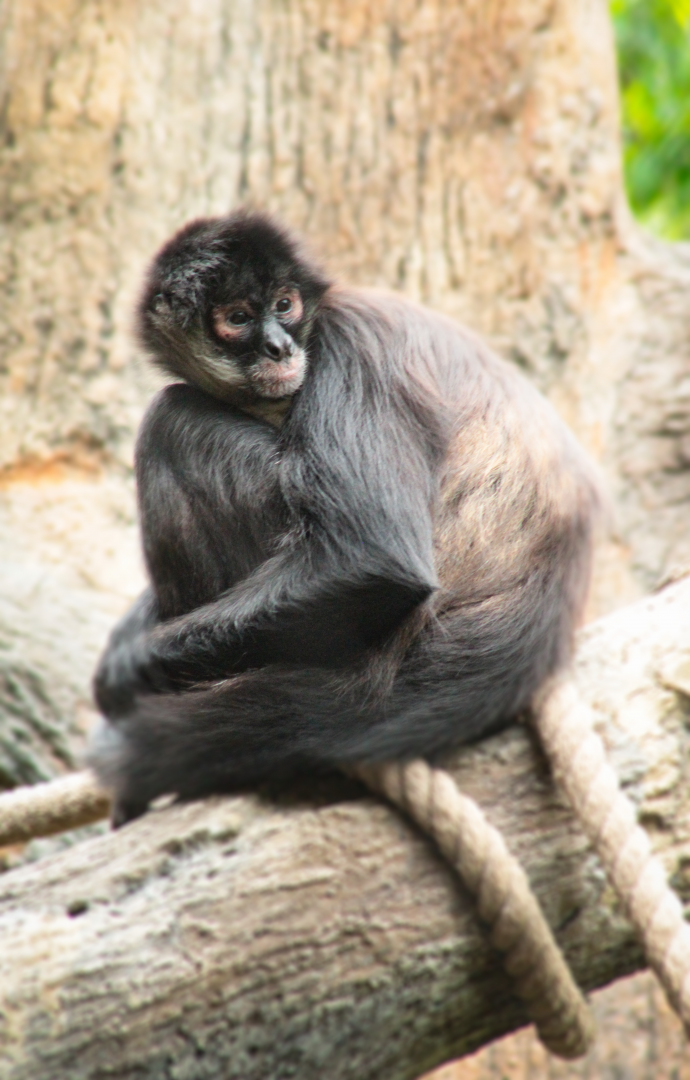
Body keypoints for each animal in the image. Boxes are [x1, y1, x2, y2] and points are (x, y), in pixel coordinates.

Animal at [89, 209, 602, 828]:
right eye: (238, 318)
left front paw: (126, 675)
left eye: (284, 304)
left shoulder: (347, 343)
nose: (280, 347)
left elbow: (375, 563)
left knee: (171, 419)